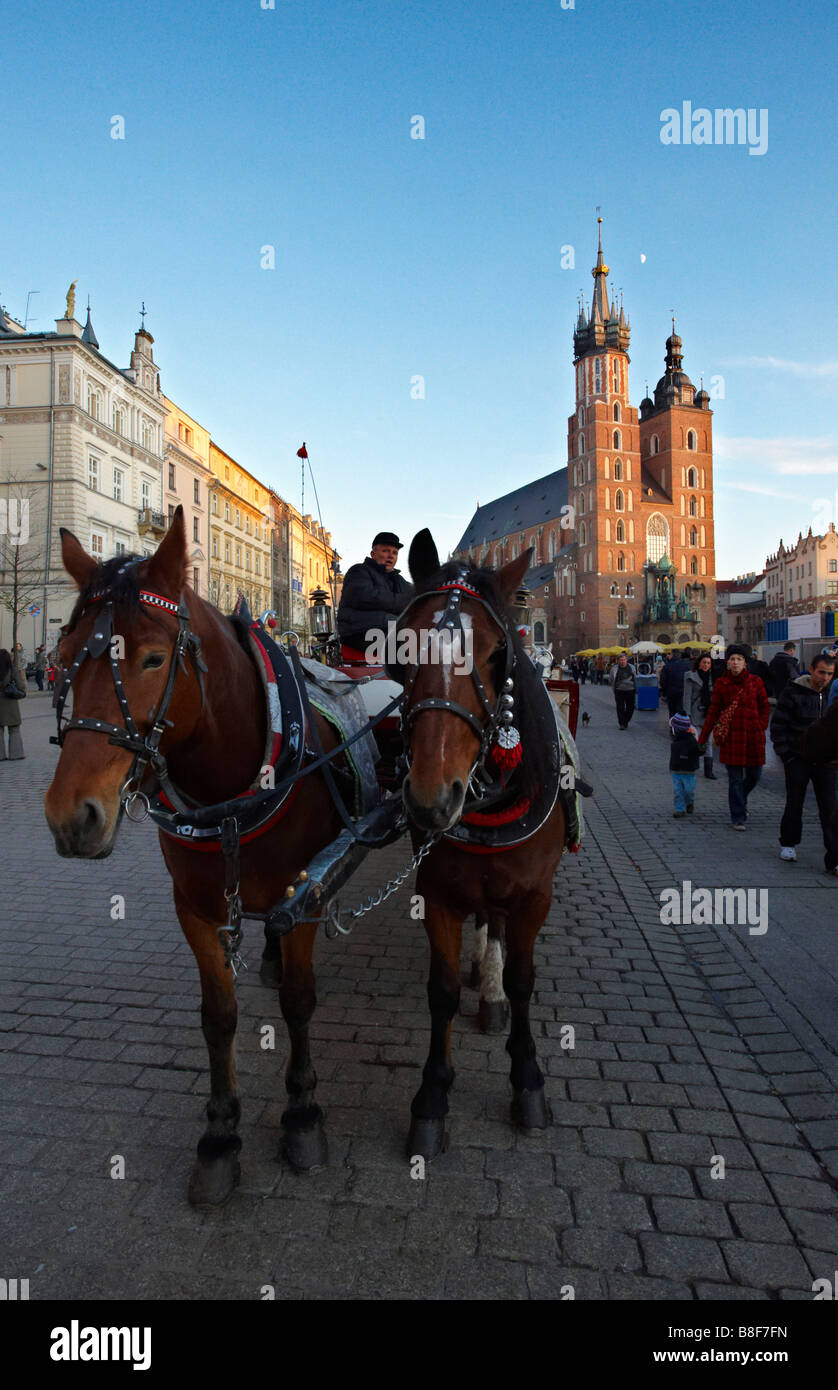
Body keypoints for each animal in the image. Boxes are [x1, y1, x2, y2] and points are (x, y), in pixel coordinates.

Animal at [41, 511, 344, 1206]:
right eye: (63, 659)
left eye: (154, 659)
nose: (72, 815)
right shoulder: (196, 908)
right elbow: (218, 1015)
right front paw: (219, 1136)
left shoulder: (306, 894)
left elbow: (299, 1000)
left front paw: (302, 1113)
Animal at [394, 530, 567, 1162]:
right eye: (402, 648)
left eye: (497, 655)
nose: (431, 797)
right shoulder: (437, 893)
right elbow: (440, 991)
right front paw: (431, 1097)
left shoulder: (534, 896)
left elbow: (522, 980)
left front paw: (527, 1082)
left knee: (493, 926)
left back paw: (489, 990)